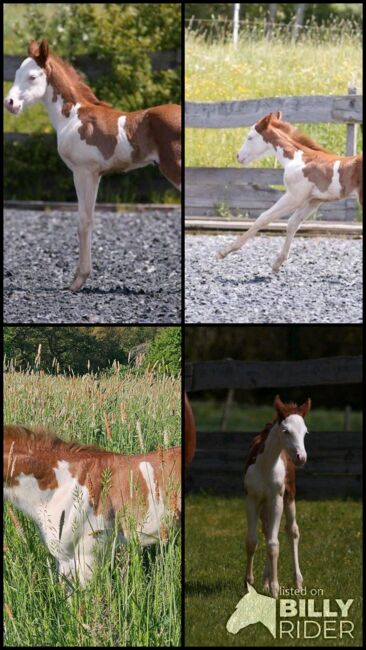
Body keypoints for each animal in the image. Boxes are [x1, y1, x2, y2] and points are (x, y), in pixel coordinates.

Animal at [4, 40, 182, 292]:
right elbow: (89, 218)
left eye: (32, 76)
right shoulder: (96, 175)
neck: (73, 117)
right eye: (17, 73)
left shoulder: (83, 173)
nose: (10, 103)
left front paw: (78, 281)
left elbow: (83, 221)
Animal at [217, 112, 364, 270]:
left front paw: (225, 251)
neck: (298, 160)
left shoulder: (294, 197)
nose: (238, 156)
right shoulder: (313, 200)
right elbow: (293, 223)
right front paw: (278, 262)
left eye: (250, 137)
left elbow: (264, 217)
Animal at [244, 392, 310, 596]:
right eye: (286, 431)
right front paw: (248, 583)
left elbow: (274, 545)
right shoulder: (252, 499)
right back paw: (265, 581)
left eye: (305, 432)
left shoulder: (276, 500)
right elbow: (252, 541)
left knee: (292, 531)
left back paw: (297, 582)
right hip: (264, 504)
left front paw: (275, 588)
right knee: (267, 532)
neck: (265, 467)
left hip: (289, 496)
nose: (301, 457)